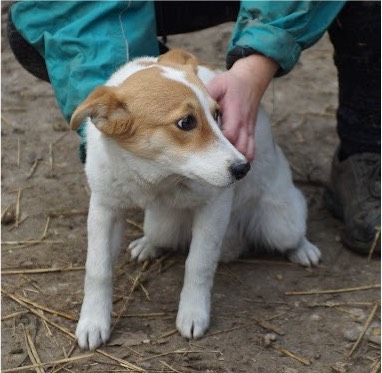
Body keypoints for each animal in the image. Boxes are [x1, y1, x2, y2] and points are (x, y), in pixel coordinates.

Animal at [69, 48, 320, 348]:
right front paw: (93, 321)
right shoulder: (104, 208)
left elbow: (198, 265)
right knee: (161, 237)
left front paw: (192, 313)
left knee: (291, 235)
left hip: (281, 225)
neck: (157, 175)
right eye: (186, 122)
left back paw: (304, 249)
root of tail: (235, 244)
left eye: (218, 114)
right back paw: (148, 244)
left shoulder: (214, 207)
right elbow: (97, 269)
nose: (243, 168)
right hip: (160, 224)